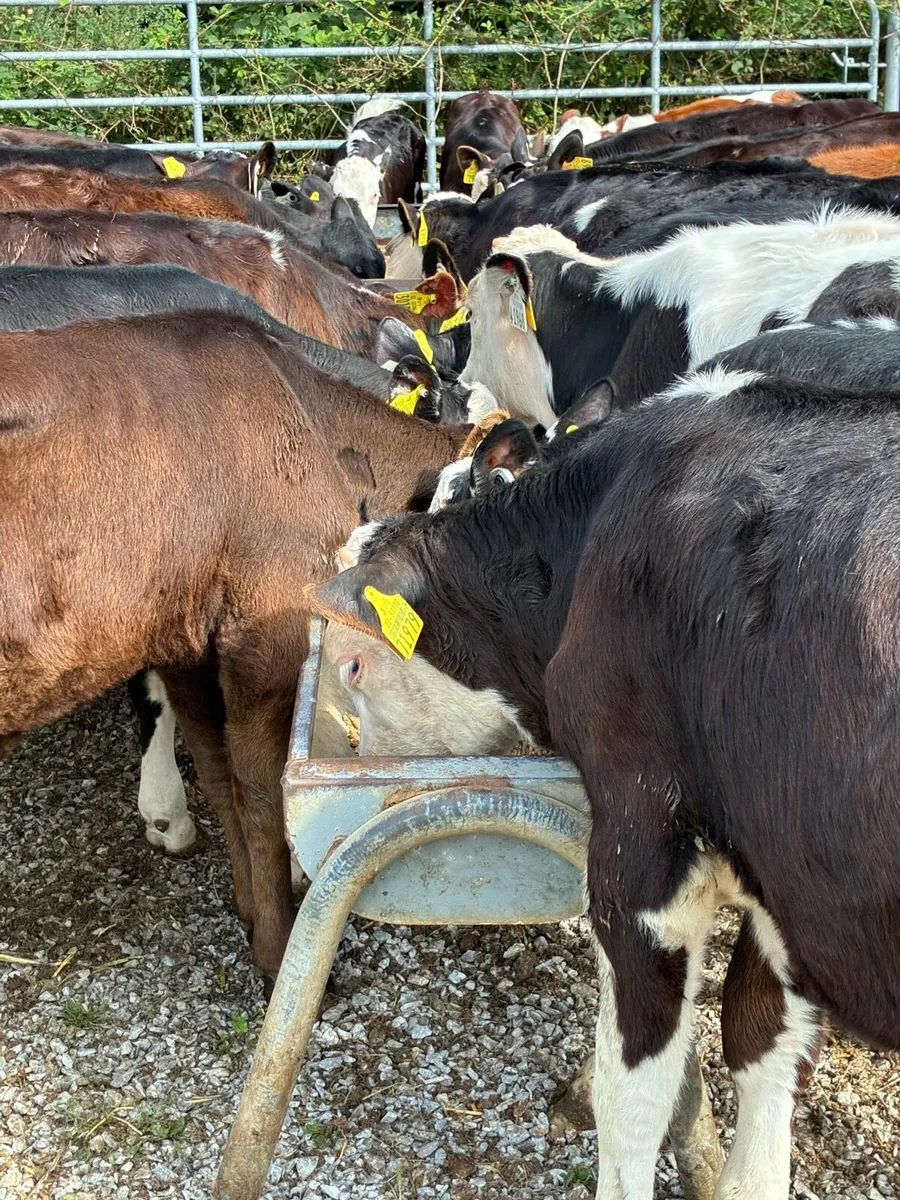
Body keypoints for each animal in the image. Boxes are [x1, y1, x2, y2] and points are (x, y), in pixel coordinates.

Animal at [316, 372, 900, 1198]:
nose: (368, 771)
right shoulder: (787, 876)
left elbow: (632, 1095)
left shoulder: (644, 849)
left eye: (356, 664)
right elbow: (761, 1045)